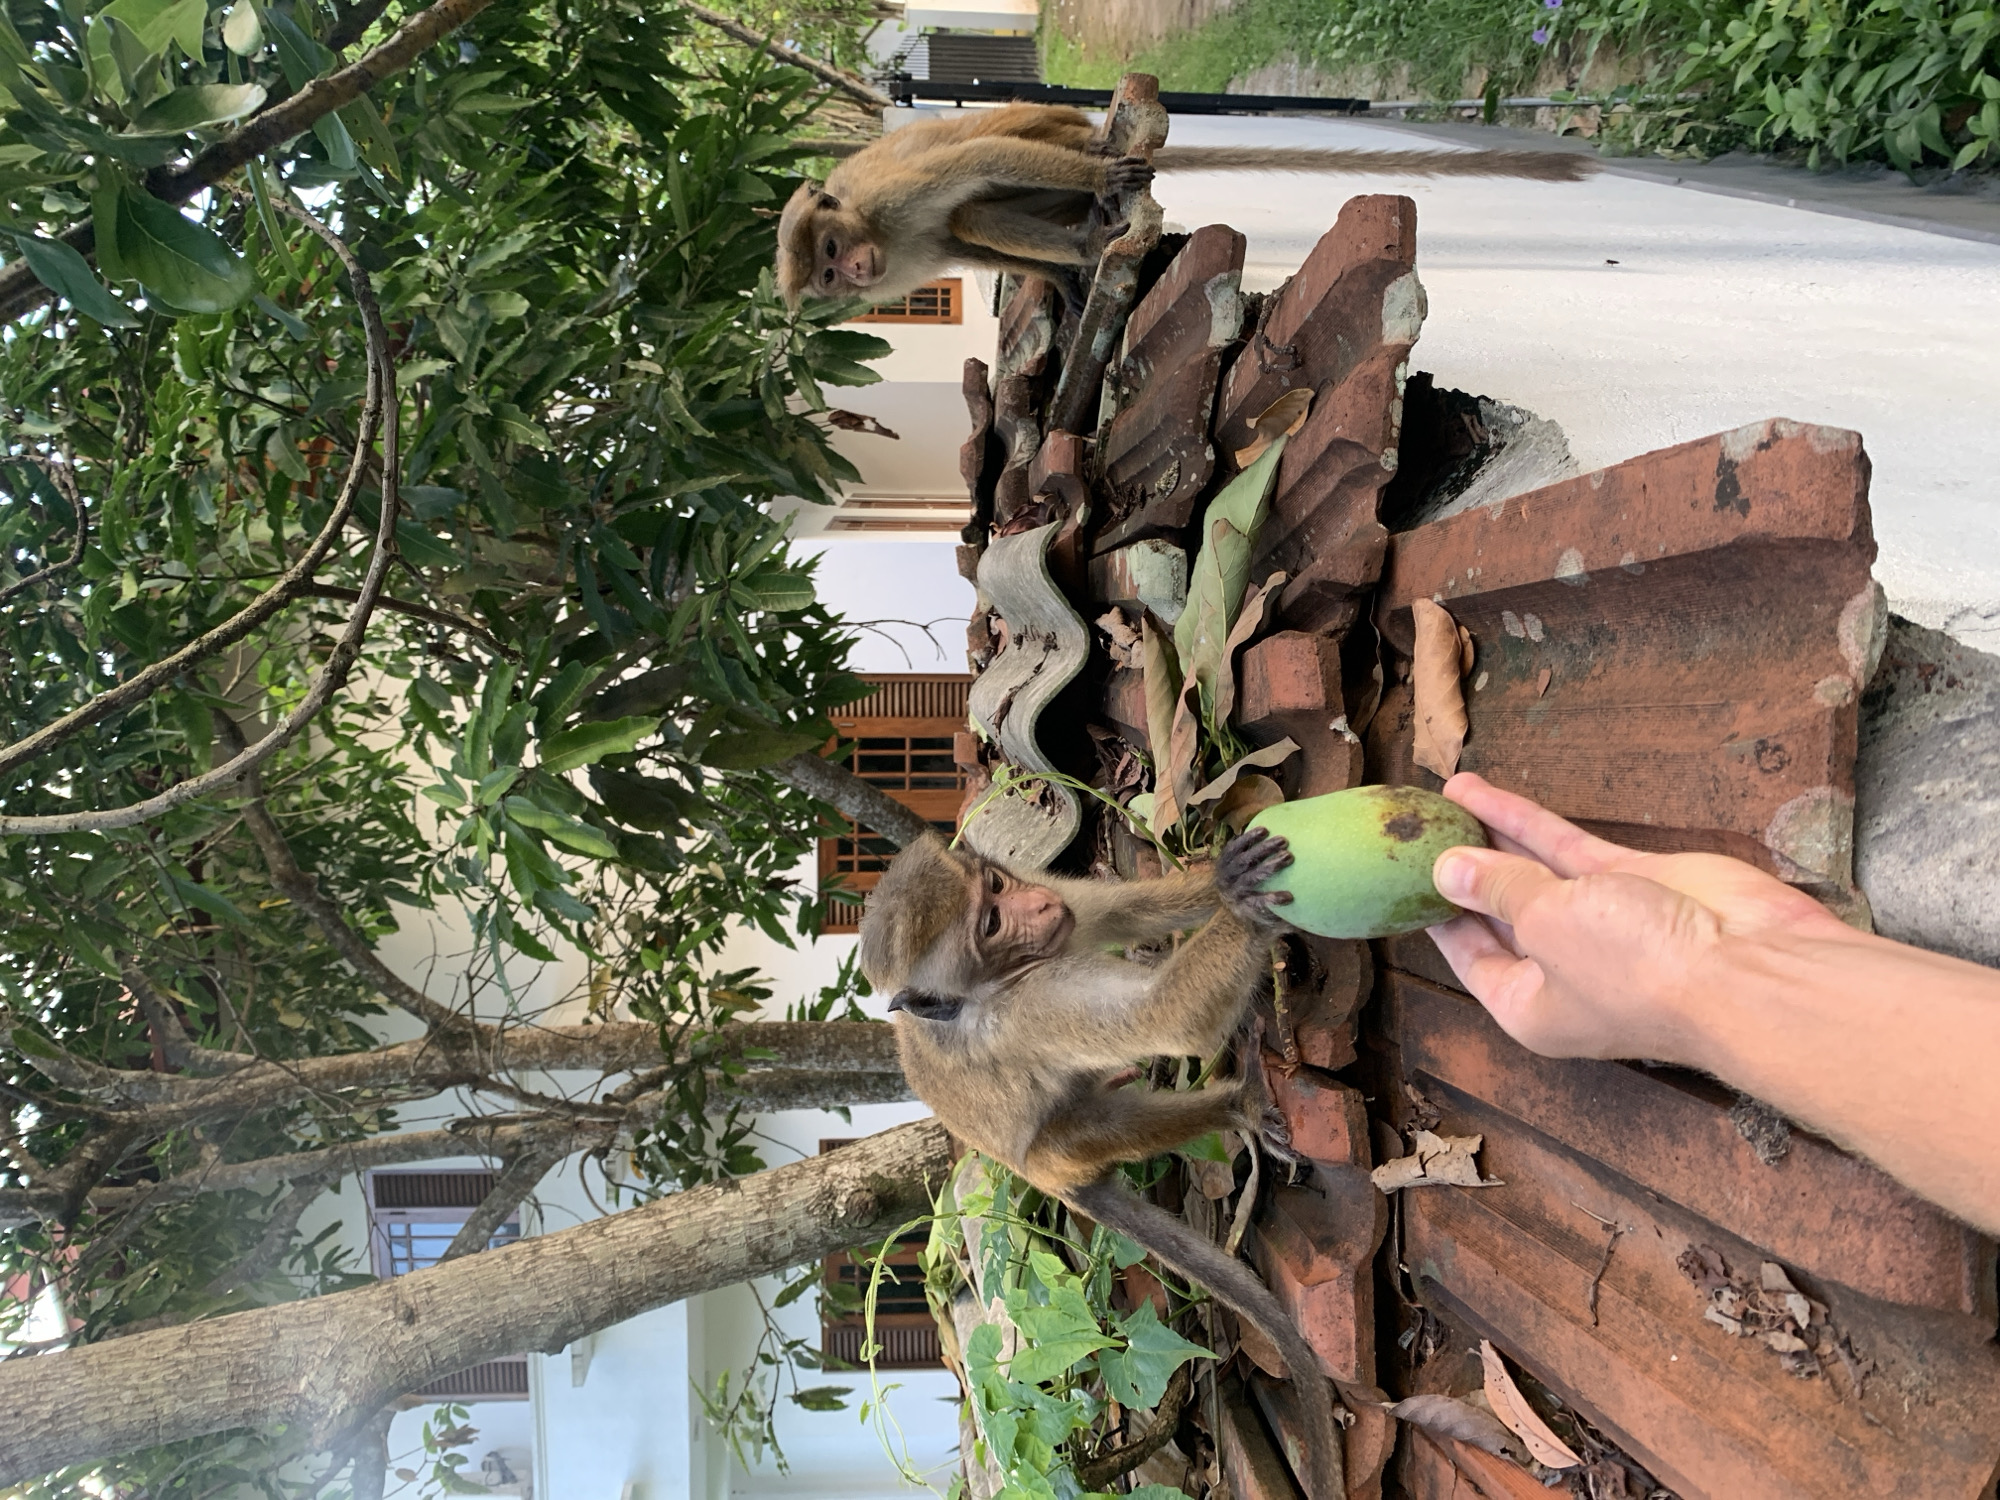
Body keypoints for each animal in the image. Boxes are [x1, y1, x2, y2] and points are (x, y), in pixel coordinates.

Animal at [778, 100, 1596, 307]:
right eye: (826, 275)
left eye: (827, 254)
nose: (850, 273)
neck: (869, 224)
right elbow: (958, 243)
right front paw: (1063, 278)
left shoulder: (891, 200)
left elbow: (971, 165)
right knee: (972, 219)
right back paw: (1082, 249)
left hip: (1050, 130)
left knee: (993, 163)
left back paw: (1099, 182)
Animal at [857, 825, 1346, 1500]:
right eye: (991, 924)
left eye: (997, 885)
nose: (1034, 906)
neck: (986, 989)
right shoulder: (1031, 1007)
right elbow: (1163, 1017)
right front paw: (1245, 907)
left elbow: (1129, 912)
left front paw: (1225, 878)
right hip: (1056, 1159)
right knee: (1091, 1123)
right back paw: (1237, 1105)